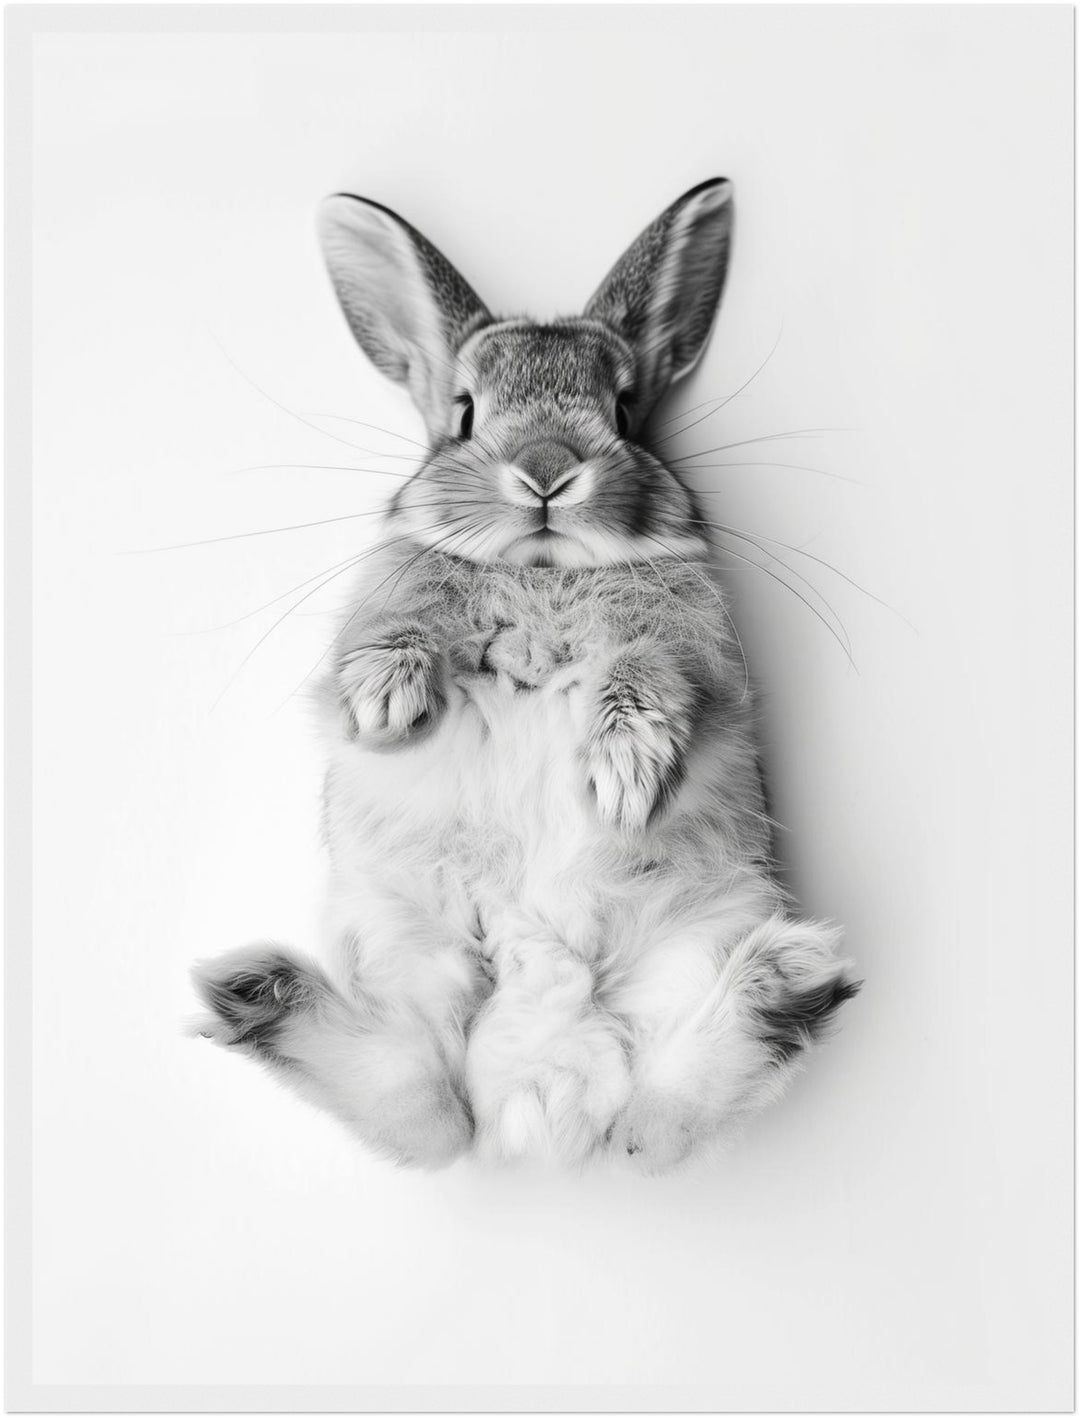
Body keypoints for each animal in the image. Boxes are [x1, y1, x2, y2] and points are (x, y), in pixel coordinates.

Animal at [191, 178, 860, 1173]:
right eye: (466, 411)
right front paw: (385, 703)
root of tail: (538, 1090)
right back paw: (253, 990)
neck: (544, 570)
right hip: (403, 942)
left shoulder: (695, 649)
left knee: (655, 1116)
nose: (547, 470)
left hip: (695, 936)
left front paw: (623, 775)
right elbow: (389, 634)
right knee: (421, 1107)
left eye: (625, 411)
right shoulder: (382, 601)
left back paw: (787, 979)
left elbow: (653, 676)